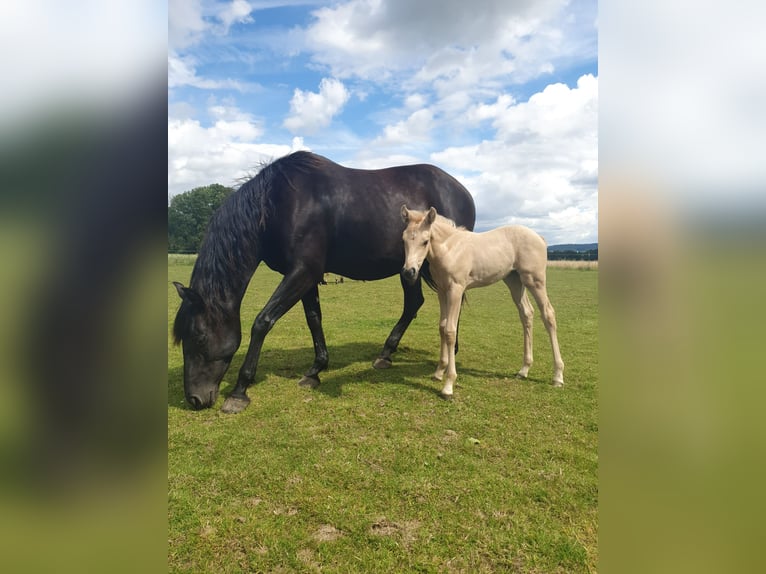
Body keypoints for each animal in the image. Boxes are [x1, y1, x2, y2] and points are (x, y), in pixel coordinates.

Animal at [172, 153, 474, 414]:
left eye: (199, 337)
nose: (194, 399)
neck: (279, 204)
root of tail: (462, 191)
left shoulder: (303, 271)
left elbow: (263, 321)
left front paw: (239, 391)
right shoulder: (307, 276)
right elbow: (313, 319)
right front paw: (316, 370)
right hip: (412, 268)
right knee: (416, 304)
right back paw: (388, 354)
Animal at [402, 207, 564, 400]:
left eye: (425, 241)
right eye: (404, 239)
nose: (409, 272)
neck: (450, 249)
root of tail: (539, 237)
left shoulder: (456, 290)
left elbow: (450, 331)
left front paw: (448, 385)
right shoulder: (442, 291)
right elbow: (442, 327)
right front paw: (439, 371)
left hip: (535, 281)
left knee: (548, 315)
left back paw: (558, 376)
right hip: (515, 281)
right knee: (527, 314)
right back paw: (524, 370)